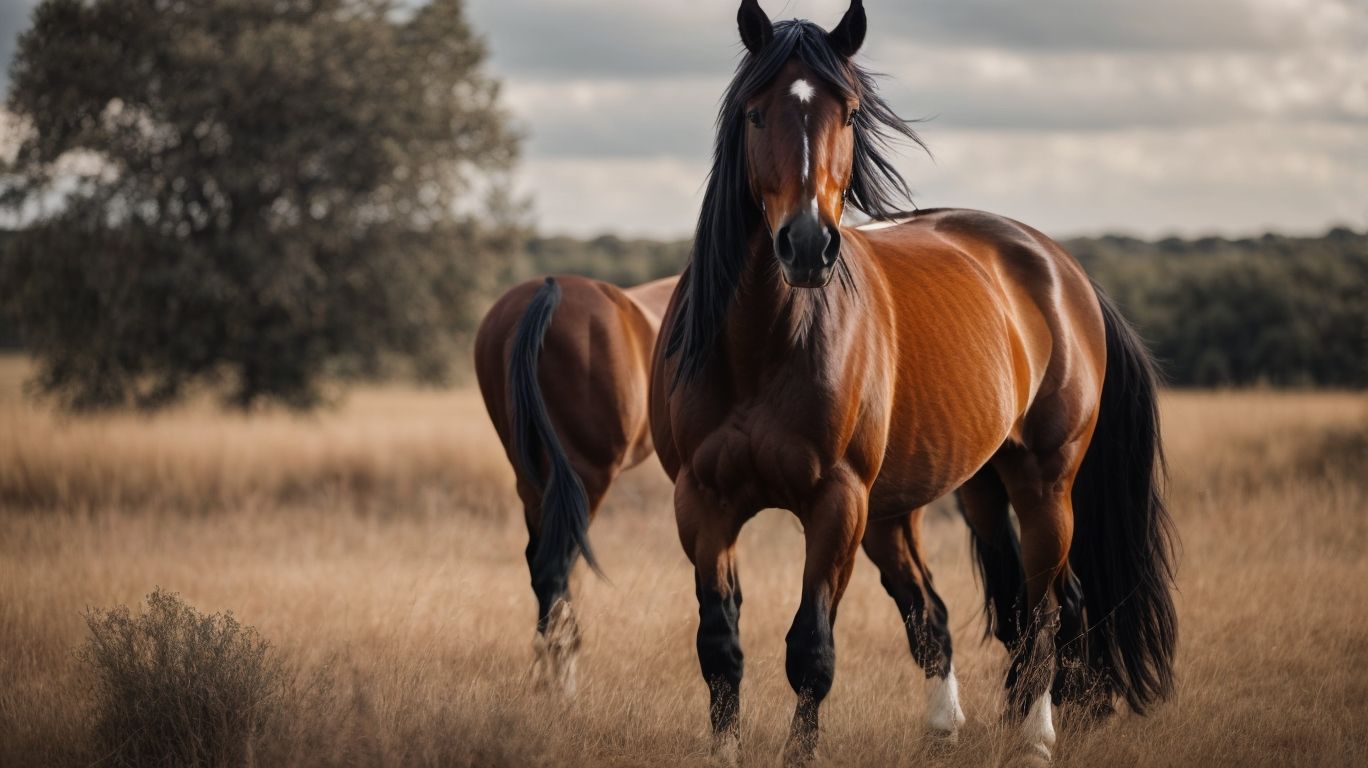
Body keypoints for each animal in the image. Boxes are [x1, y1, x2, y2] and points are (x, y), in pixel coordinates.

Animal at [475, 273, 678, 694]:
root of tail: (548, 288)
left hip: (534, 483)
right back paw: (563, 671)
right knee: (557, 566)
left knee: (544, 566)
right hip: (585, 481)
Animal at [648, 2, 1177, 765]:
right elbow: (720, 647)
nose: (807, 246)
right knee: (970, 611)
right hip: (958, 493)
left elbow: (811, 650)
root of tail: (1062, 269)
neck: (760, 346)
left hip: (1042, 482)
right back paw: (974, 726)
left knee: (1052, 605)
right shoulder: (703, 503)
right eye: (754, 112)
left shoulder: (835, 503)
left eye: (848, 113)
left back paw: (1035, 736)